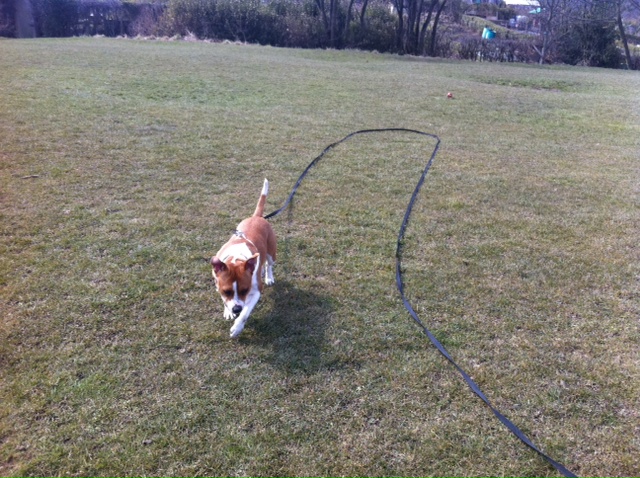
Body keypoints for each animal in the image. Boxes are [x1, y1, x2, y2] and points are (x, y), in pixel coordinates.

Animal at [211, 177, 276, 338]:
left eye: (244, 290)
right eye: (226, 291)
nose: (236, 309)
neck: (236, 258)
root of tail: (257, 217)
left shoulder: (256, 291)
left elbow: (246, 313)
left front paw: (237, 328)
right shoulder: (218, 284)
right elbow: (224, 300)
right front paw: (228, 311)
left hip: (272, 252)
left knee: (269, 264)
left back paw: (269, 276)